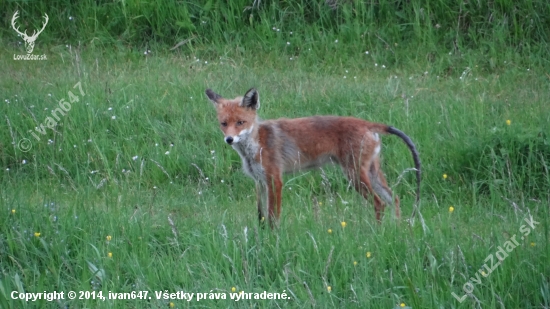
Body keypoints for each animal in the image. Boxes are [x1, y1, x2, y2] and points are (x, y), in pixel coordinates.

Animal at [206, 86, 422, 226]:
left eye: (240, 122)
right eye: (224, 124)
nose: (229, 139)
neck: (256, 144)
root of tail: (368, 123)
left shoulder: (275, 179)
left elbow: (273, 216)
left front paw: (273, 239)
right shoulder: (260, 182)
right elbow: (261, 216)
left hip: (355, 176)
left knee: (380, 204)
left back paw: (377, 233)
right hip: (371, 173)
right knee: (394, 199)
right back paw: (397, 230)